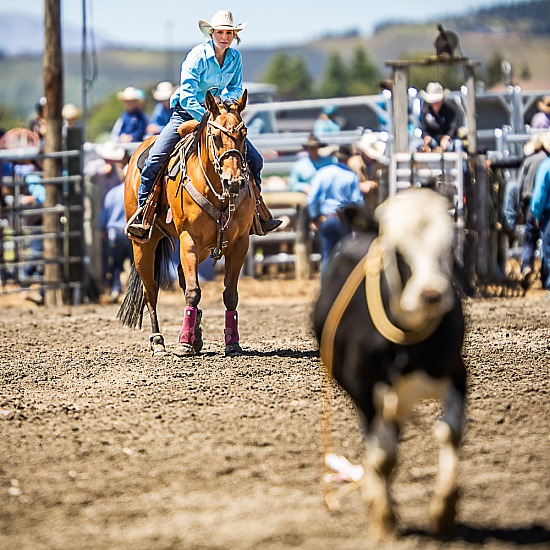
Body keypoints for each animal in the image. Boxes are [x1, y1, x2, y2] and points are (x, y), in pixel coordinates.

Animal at [118, 90, 256, 358]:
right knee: (151, 291)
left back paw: (197, 335)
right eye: (216, 137)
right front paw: (184, 344)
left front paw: (232, 342)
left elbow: (230, 294)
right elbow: (193, 292)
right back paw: (158, 342)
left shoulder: (239, 243)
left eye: (243, 134)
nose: (235, 182)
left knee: (182, 276)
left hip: (202, 248)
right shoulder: (189, 239)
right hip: (144, 245)